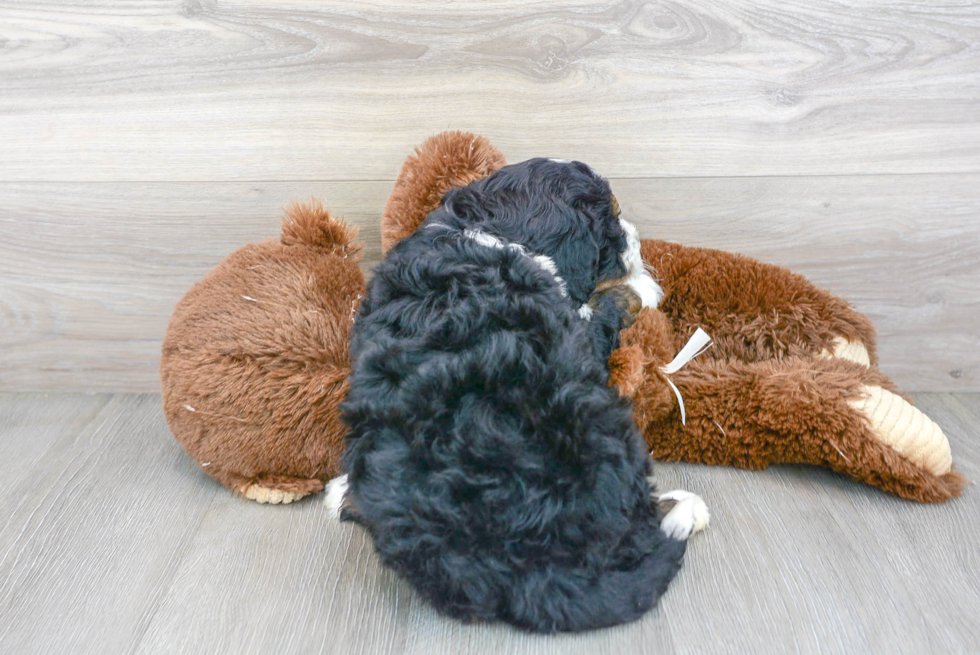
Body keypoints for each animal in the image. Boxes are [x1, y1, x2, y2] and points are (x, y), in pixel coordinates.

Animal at [330, 156, 704, 632]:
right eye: (612, 225)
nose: (636, 235)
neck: (490, 230)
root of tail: (524, 571)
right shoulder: (582, 330)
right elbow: (614, 303)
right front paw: (644, 285)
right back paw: (681, 510)